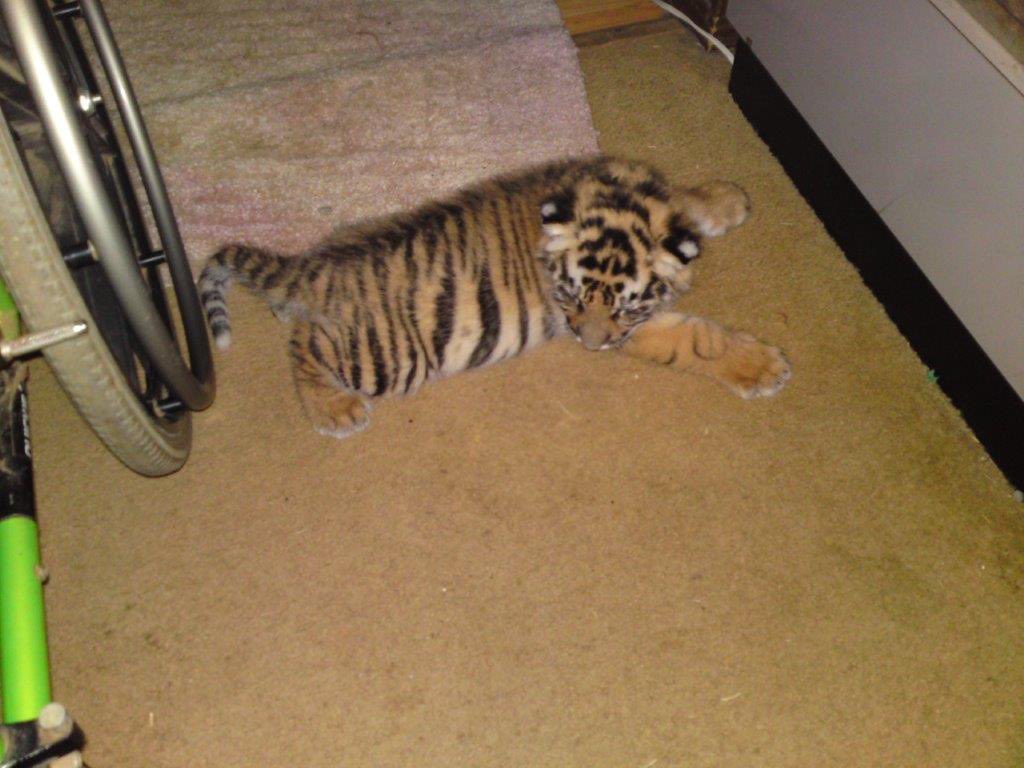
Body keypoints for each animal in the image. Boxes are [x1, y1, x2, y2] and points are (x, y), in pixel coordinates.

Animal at [198, 155, 791, 438]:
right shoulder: (635, 332)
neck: (620, 198)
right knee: (304, 345)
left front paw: (727, 198)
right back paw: (335, 408)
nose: (589, 345)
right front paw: (763, 368)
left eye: (622, 304)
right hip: (388, 357)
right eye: (572, 298)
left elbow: (686, 200)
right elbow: (695, 339)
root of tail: (316, 268)